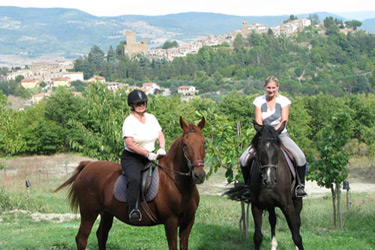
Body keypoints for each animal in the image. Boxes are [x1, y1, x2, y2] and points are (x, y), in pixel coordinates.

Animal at [55, 117, 206, 250]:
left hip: (106, 213)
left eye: (204, 143)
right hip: (88, 213)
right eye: (185, 144)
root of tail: (88, 166)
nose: (199, 175)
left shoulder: (188, 222)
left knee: (101, 235)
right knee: (81, 239)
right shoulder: (170, 222)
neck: (177, 184)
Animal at [250, 120, 306, 249]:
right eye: (260, 151)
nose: (269, 181)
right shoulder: (256, 206)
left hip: (297, 200)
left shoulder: (288, 206)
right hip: (270, 204)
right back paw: (273, 245)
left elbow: (297, 237)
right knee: (272, 220)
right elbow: (257, 237)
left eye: (277, 152)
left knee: (297, 221)